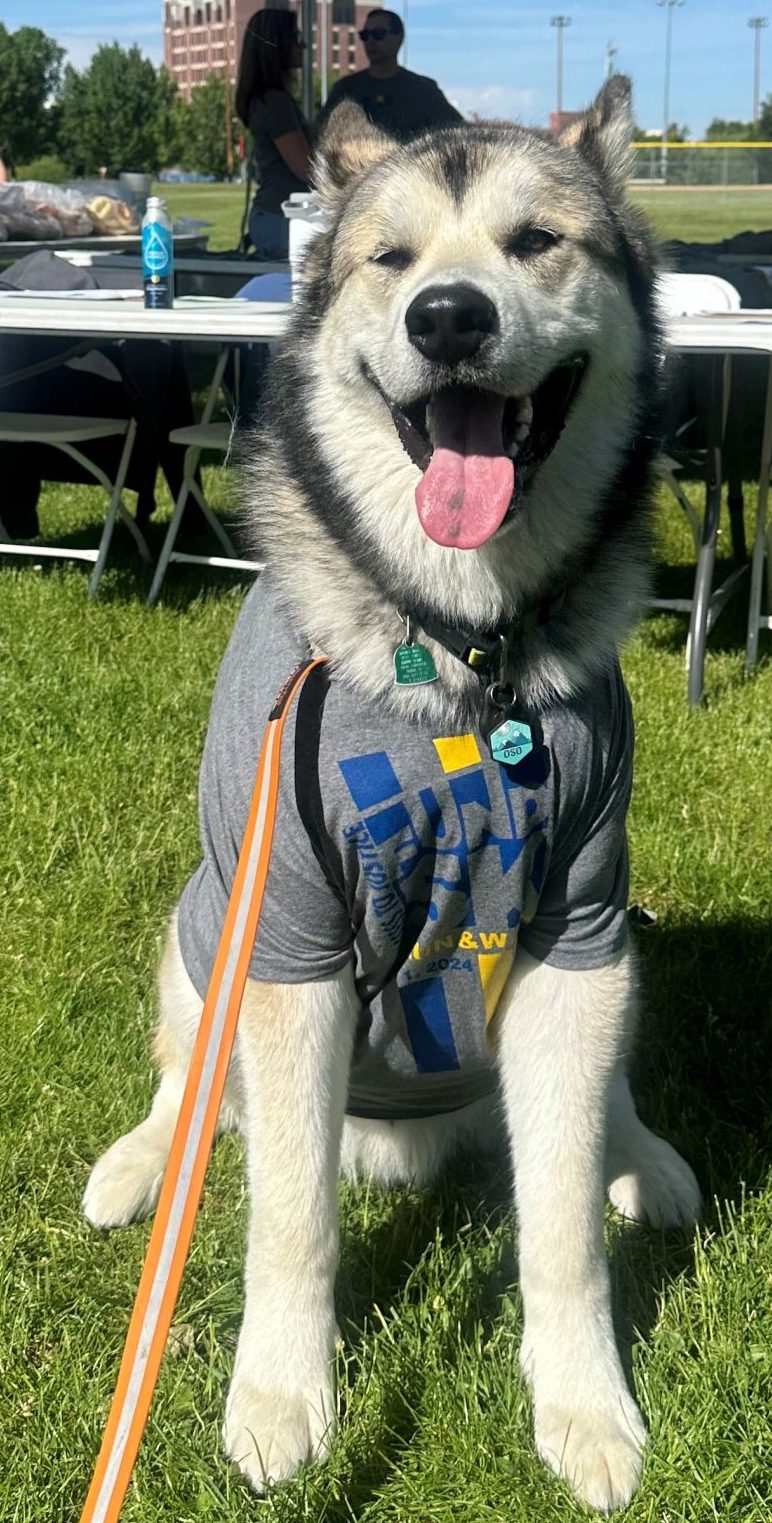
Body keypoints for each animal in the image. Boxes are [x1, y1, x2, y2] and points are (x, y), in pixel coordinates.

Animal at [82, 80, 700, 1510]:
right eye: (391, 260)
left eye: (535, 242)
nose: (449, 317)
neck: (463, 659)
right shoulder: (287, 933)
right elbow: (291, 1219)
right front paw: (278, 1397)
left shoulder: (579, 926)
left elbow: (562, 1227)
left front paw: (584, 1406)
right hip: (200, 927)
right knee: (187, 1089)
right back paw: (142, 1165)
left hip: (617, 957)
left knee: (598, 1111)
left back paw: (643, 1156)